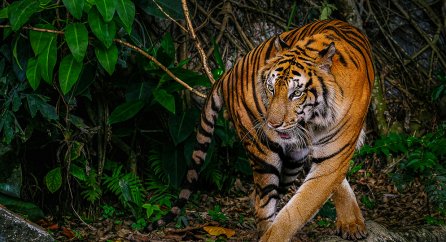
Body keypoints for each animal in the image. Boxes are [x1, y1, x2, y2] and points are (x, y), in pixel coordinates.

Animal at [152, 18, 374, 240]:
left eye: (297, 93)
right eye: (271, 88)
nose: (272, 124)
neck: (314, 122)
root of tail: (230, 71)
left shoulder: (333, 156)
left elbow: (302, 205)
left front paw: (351, 224)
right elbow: (297, 209)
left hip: (293, 161)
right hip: (263, 151)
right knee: (262, 202)